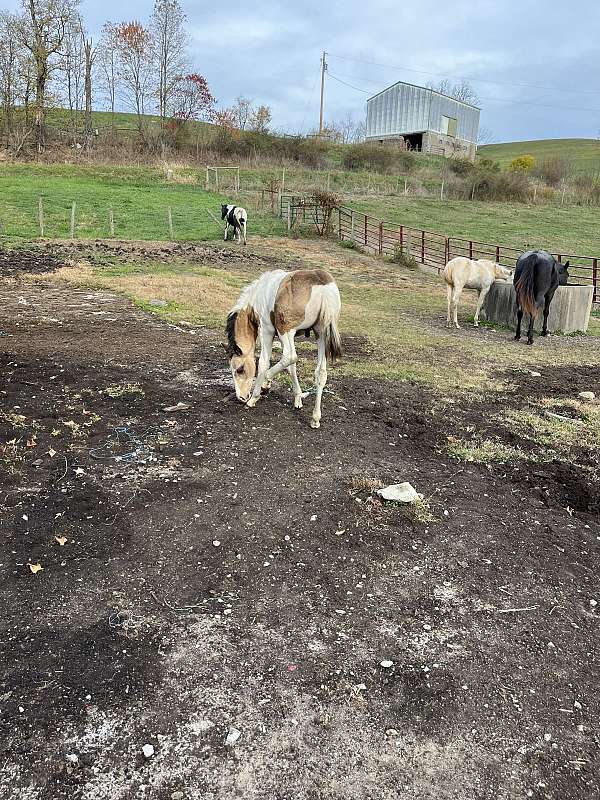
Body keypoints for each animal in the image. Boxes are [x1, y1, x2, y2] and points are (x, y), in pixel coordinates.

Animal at [224, 268, 340, 428]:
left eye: (240, 370)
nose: (241, 397)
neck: (258, 295)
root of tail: (322, 284)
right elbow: (292, 368)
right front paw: (298, 398)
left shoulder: (267, 330)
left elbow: (264, 362)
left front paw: (254, 397)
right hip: (321, 333)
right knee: (320, 372)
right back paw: (315, 418)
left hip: (286, 331)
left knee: (289, 356)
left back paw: (265, 382)